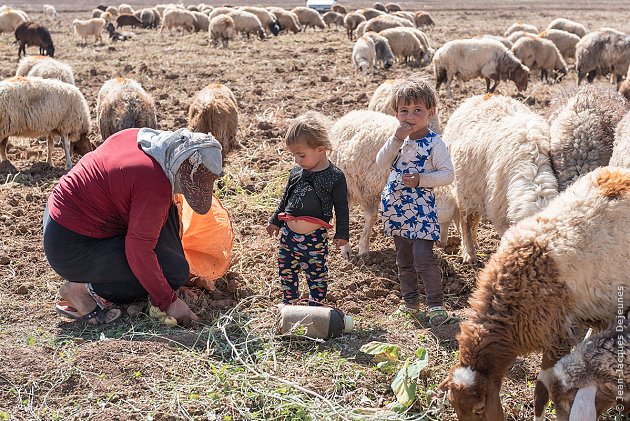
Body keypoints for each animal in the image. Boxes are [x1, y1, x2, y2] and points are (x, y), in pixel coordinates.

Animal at [330, 110, 460, 256]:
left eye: (450, 222)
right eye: (438, 222)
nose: (442, 244)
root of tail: (348, 115)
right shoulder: (370, 187)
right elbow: (371, 217)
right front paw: (363, 248)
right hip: (347, 183)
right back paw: (346, 248)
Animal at [442, 94, 560, 262]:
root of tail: (483, 95)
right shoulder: (500, 215)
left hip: (478, 187)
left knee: (474, 218)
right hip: (464, 189)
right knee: (466, 221)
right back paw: (469, 254)